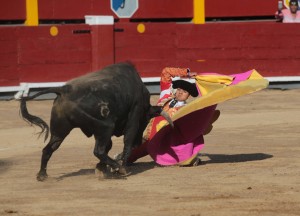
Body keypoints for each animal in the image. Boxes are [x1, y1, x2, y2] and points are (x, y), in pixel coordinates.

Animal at [19, 62, 172, 181]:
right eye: (145, 120)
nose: (139, 141)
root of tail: (64, 89)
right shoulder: (134, 115)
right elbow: (127, 142)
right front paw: (116, 166)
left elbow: (109, 146)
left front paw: (102, 168)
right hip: (106, 126)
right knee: (98, 150)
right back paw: (119, 168)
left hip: (60, 130)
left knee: (48, 149)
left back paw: (42, 175)